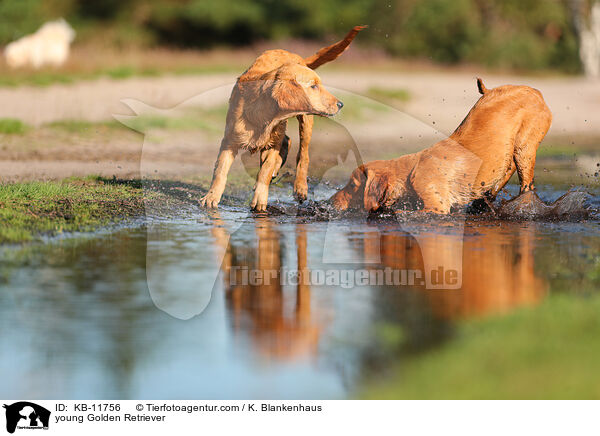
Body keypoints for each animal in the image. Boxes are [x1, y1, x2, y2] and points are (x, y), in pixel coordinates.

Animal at [203, 24, 366, 210]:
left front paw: (260, 199)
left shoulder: (273, 143)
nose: (341, 104)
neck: (263, 115)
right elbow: (220, 170)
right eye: (314, 86)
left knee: (302, 154)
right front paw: (211, 197)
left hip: (305, 122)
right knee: (287, 141)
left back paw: (300, 187)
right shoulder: (229, 140)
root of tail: (296, 56)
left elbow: (265, 171)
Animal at [330, 79, 552, 215]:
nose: (330, 202)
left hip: (525, 148)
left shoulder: (436, 207)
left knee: (526, 184)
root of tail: (536, 92)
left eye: (352, 185)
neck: (409, 171)